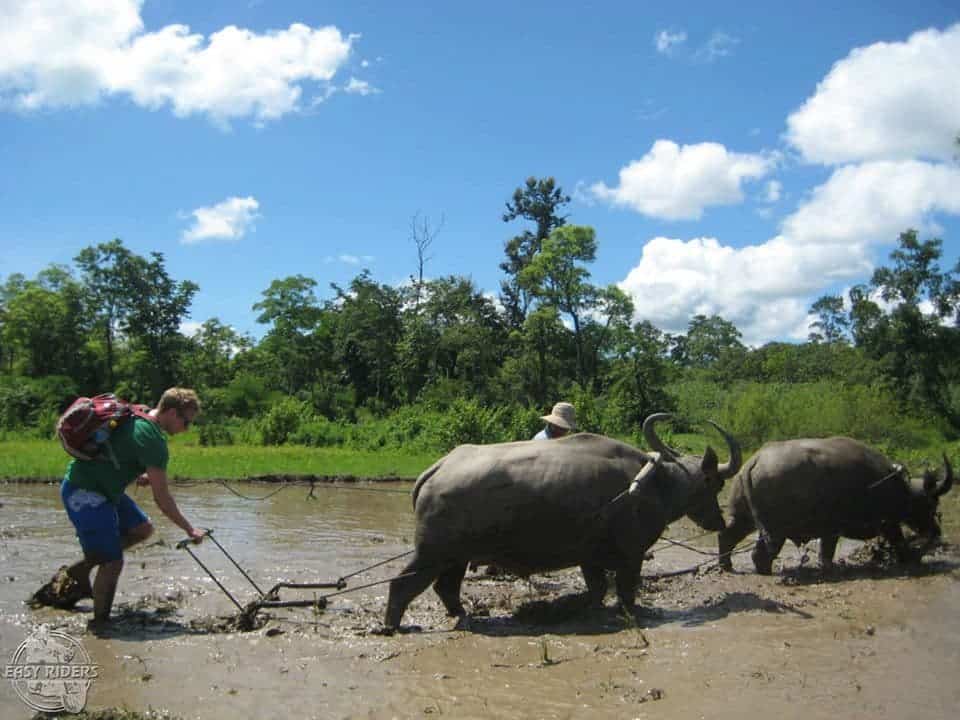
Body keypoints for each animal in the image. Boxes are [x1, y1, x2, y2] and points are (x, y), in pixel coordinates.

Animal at [382, 416, 744, 632]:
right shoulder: (632, 555)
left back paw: (462, 615)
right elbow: (626, 591)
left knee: (446, 587)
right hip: (432, 553)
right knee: (402, 585)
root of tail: (437, 469)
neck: (653, 483)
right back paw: (392, 625)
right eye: (715, 484)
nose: (718, 520)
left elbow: (597, 589)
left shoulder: (590, 557)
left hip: (455, 557)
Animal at [720, 434, 952, 572]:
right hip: (776, 529)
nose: (936, 531)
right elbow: (898, 540)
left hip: (743, 517)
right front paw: (909, 559)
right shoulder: (885, 522)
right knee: (760, 553)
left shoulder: (831, 530)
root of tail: (754, 461)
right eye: (930, 505)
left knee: (729, 536)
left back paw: (726, 564)